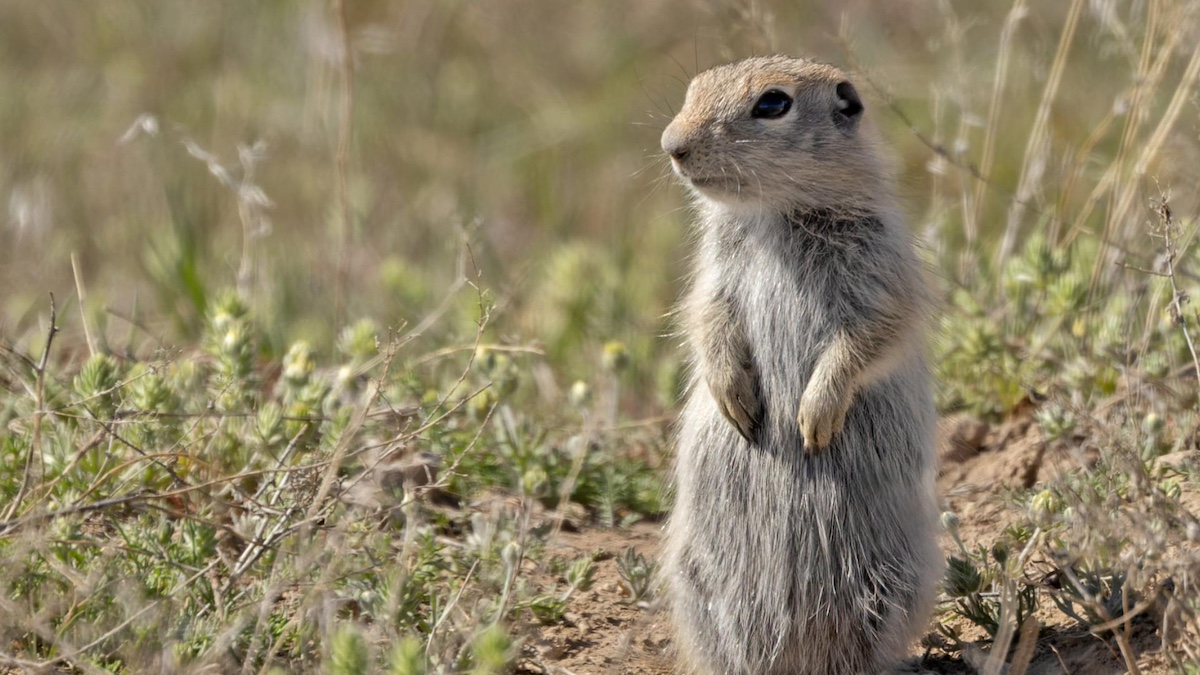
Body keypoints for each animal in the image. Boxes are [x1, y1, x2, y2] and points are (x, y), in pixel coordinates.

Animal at [662, 55, 940, 667]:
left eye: (773, 103)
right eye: (692, 88)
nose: (672, 145)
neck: (774, 213)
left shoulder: (882, 273)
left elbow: (867, 338)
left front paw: (813, 419)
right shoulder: (714, 276)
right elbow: (708, 317)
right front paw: (736, 401)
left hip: (897, 582)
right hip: (692, 583)